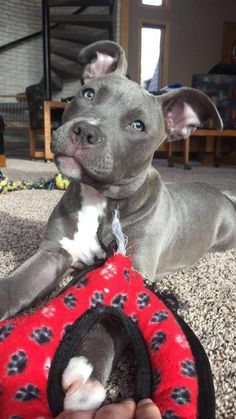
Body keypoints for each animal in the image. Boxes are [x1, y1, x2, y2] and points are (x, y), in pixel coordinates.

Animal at [0, 41, 235, 412]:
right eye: (88, 93)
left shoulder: (132, 272)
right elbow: (17, 283)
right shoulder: (53, 253)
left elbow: (113, 321)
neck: (100, 201)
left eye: (138, 125)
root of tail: (221, 193)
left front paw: (88, 369)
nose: (85, 130)